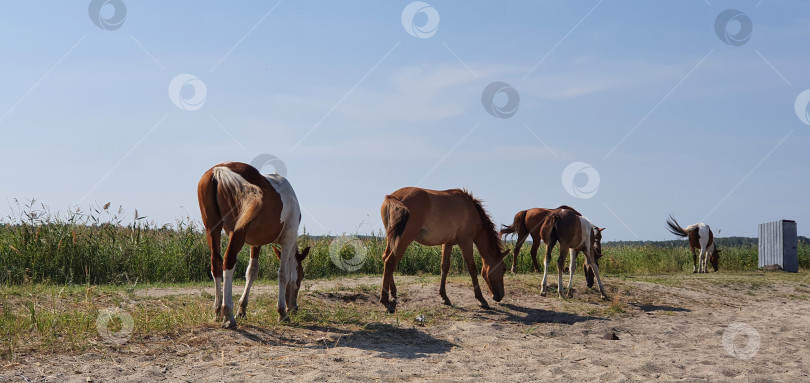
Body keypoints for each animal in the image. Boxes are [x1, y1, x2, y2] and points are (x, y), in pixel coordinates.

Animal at [196, 160, 310, 328]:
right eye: (301, 276)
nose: (294, 307)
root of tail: (219, 170)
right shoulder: (287, 241)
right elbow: (284, 274)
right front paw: (282, 312)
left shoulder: (255, 244)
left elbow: (251, 272)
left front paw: (242, 309)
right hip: (236, 233)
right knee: (228, 261)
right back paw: (228, 313)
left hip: (212, 229)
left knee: (216, 263)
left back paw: (217, 311)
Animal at [378, 187, 504, 316]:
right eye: (503, 269)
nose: (499, 296)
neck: (471, 210)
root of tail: (392, 197)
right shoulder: (466, 242)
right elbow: (472, 269)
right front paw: (481, 299)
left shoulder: (447, 243)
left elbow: (445, 267)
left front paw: (444, 297)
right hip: (403, 240)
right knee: (390, 261)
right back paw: (385, 301)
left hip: (392, 238)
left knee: (385, 258)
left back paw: (393, 293)